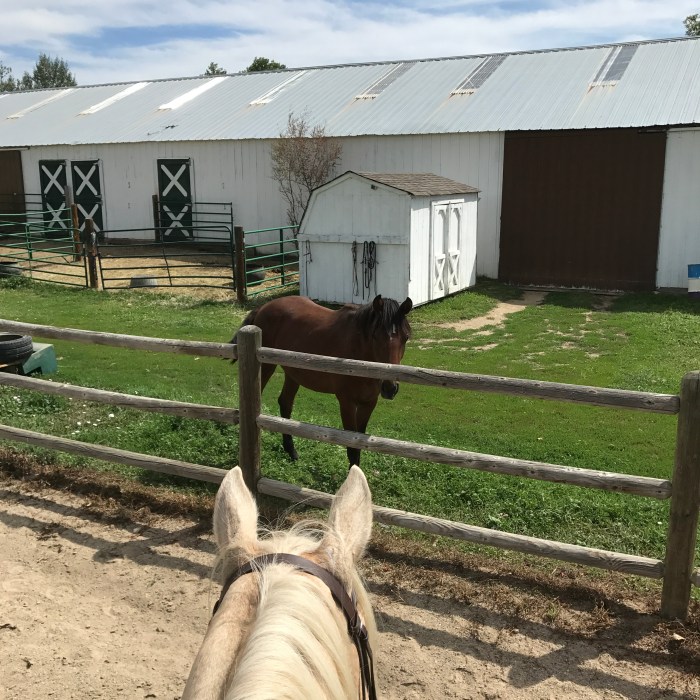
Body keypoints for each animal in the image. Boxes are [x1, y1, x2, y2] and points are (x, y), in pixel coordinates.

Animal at [231, 294, 412, 466]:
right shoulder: (347, 403)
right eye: (375, 336)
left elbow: (359, 445)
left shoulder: (369, 403)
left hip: (293, 374)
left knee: (285, 404)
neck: (359, 359)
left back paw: (291, 451)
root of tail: (263, 307)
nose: (390, 388)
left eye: (406, 337)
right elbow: (352, 448)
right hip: (267, 367)